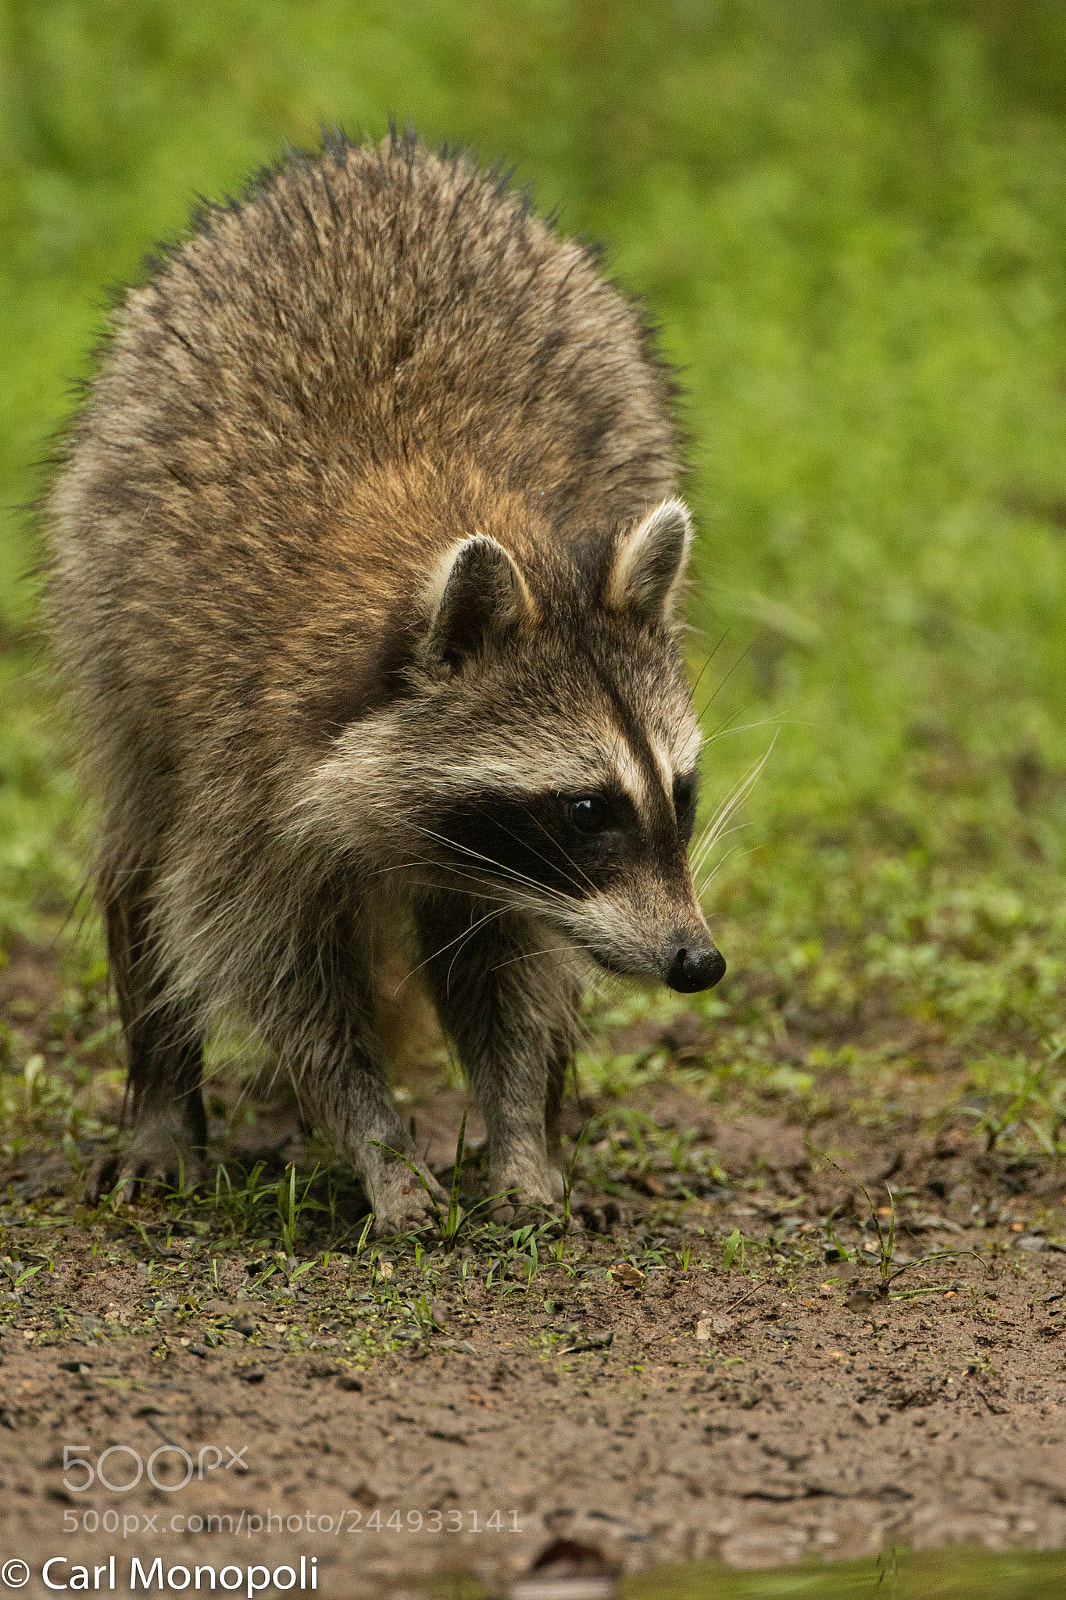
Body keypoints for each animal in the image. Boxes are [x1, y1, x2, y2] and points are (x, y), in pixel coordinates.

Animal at [46, 128, 726, 1234]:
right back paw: (161, 1097)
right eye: (588, 808)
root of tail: (369, 155)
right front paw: (375, 1140)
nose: (697, 961)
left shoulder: (522, 875)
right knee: (143, 856)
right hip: (105, 598)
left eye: (682, 792)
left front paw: (521, 1129)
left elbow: (512, 971)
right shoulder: (245, 766)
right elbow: (264, 961)